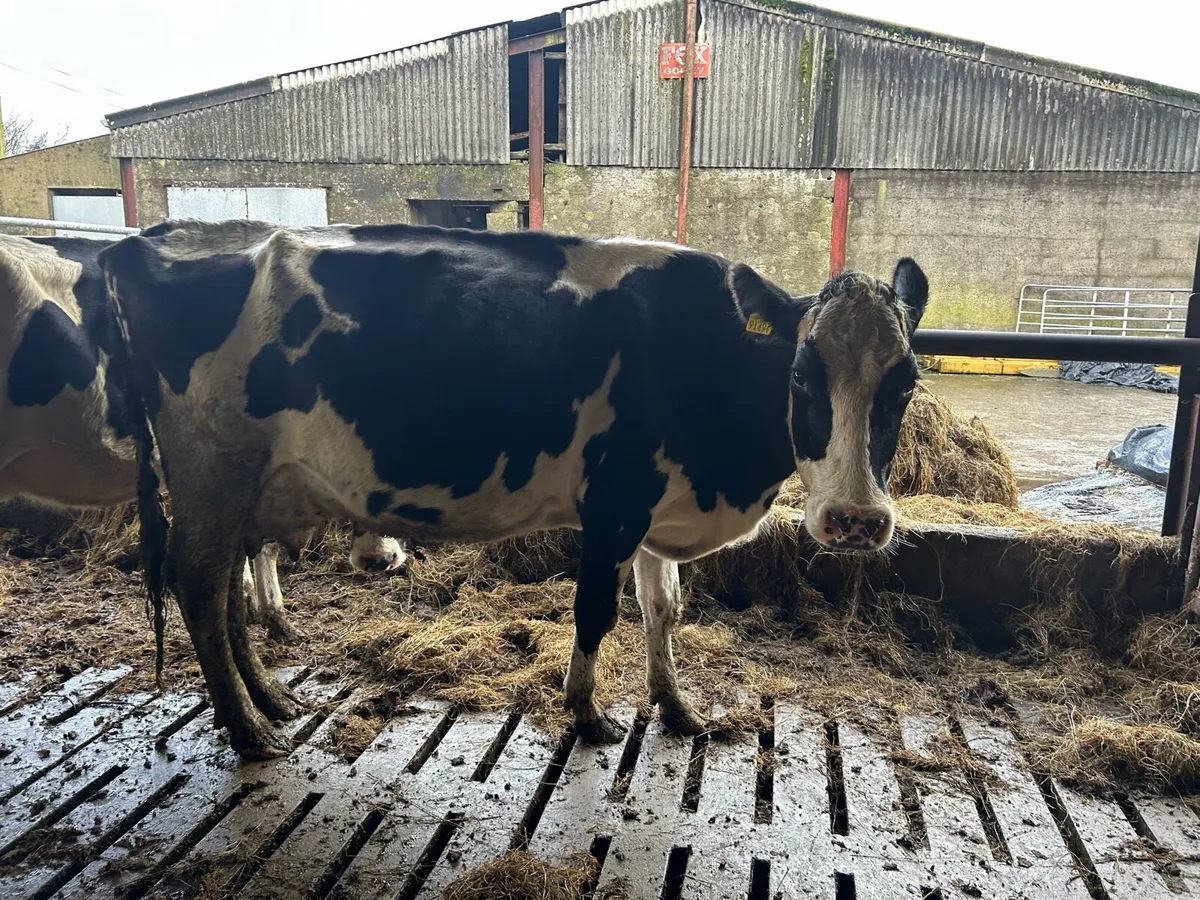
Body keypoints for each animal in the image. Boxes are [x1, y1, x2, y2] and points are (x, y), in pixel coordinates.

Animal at [99, 219, 928, 760]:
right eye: (801, 374)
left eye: (906, 382)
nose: (856, 519)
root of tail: (145, 241)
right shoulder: (614, 501)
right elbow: (595, 613)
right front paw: (587, 715)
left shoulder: (657, 506)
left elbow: (663, 609)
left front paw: (677, 708)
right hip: (213, 470)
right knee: (198, 585)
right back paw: (251, 730)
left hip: (239, 487)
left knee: (226, 590)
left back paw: (270, 699)